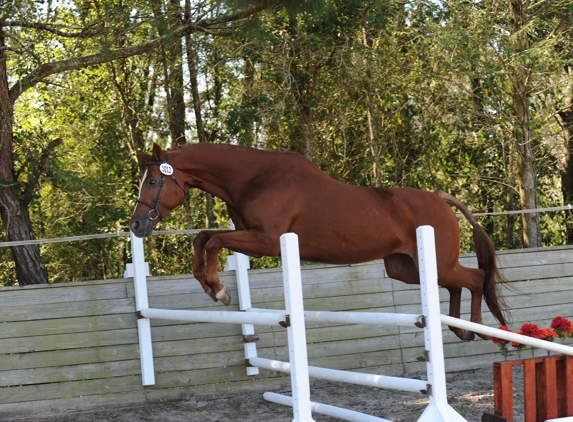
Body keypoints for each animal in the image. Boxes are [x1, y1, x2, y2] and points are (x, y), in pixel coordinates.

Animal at [128, 143, 504, 342]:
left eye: (153, 182)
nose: (136, 225)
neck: (254, 178)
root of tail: (439, 198)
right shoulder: (249, 234)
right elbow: (204, 238)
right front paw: (210, 286)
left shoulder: (266, 241)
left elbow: (213, 240)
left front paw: (219, 290)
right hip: (406, 268)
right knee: (456, 283)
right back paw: (461, 329)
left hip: (436, 262)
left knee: (475, 278)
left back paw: (479, 328)